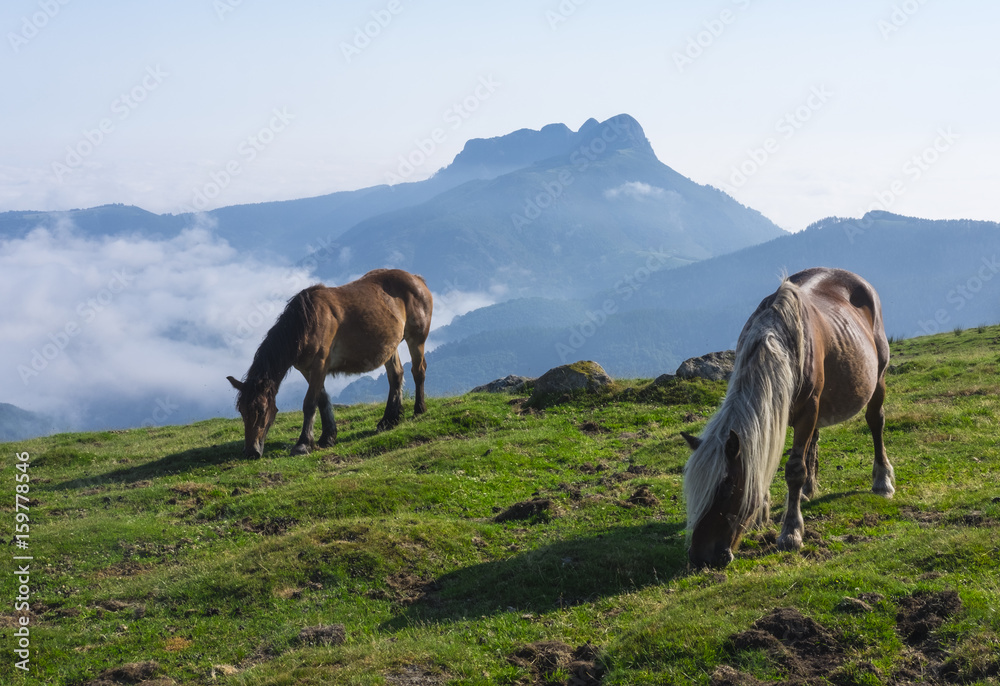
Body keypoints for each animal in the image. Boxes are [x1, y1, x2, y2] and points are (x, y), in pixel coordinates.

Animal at [229, 268, 432, 456]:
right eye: (242, 411)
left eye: (262, 410)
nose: (251, 452)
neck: (307, 322)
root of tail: (416, 279)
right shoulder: (307, 369)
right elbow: (323, 400)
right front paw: (327, 437)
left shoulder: (319, 365)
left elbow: (310, 403)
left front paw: (303, 444)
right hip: (390, 346)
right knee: (396, 376)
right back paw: (389, 420)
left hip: (416, 339)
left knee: (418, 371)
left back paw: (419, 410)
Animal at [684, 268, 896, 568]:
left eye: (726, 489)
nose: (701, 557)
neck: (777, 342)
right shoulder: (777, 412)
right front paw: (762, 513)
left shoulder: (807, 409)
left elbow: (794, 470)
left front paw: (791, 532)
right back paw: (808, 489)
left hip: (877, 378)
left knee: (875, 422)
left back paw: (882, 480)